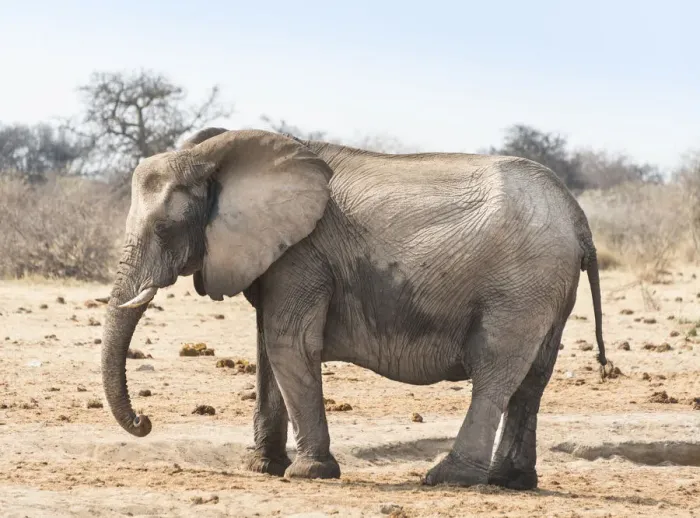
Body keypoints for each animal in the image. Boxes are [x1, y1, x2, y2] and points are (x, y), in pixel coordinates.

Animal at [101, 127, 608, 489]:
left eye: (164, 228)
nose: (145, 421)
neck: (216, 158)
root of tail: (578, 217)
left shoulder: (303, 254)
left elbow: (288, 344)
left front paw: (308, 474)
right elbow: (267, 349)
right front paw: (261, 467)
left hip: (520, 285)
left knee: (495, 370)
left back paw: (448, 477)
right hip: (548, 288)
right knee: (532, 381)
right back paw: (512, 482)